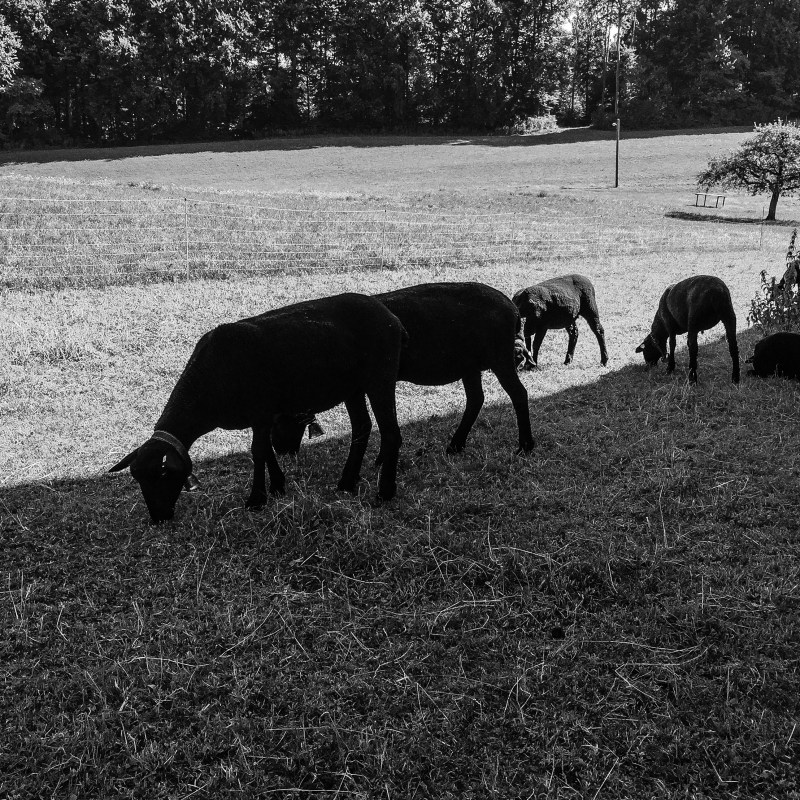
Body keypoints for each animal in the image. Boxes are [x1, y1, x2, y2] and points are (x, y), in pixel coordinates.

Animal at [109, 293, 407, 523]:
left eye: (162, 475)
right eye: (138, 479)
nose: (158, 518)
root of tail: (391, 316)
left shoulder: (262, 411)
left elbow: (258, 451)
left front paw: (256, 499)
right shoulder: (263, 415)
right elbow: (266, 451)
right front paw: (276, 486)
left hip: (380, 376)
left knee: (391, 432)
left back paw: (385, 492)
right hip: (353, 387)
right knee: (362, 427)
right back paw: (346, 483)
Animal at [270, 282, 535, 458]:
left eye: (281, 417)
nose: (282, 451)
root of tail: (513, 309)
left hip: (499, 356)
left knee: (518, 394)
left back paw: (525, 446)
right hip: (469, 363)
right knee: (476, 399)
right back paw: (455, 445)